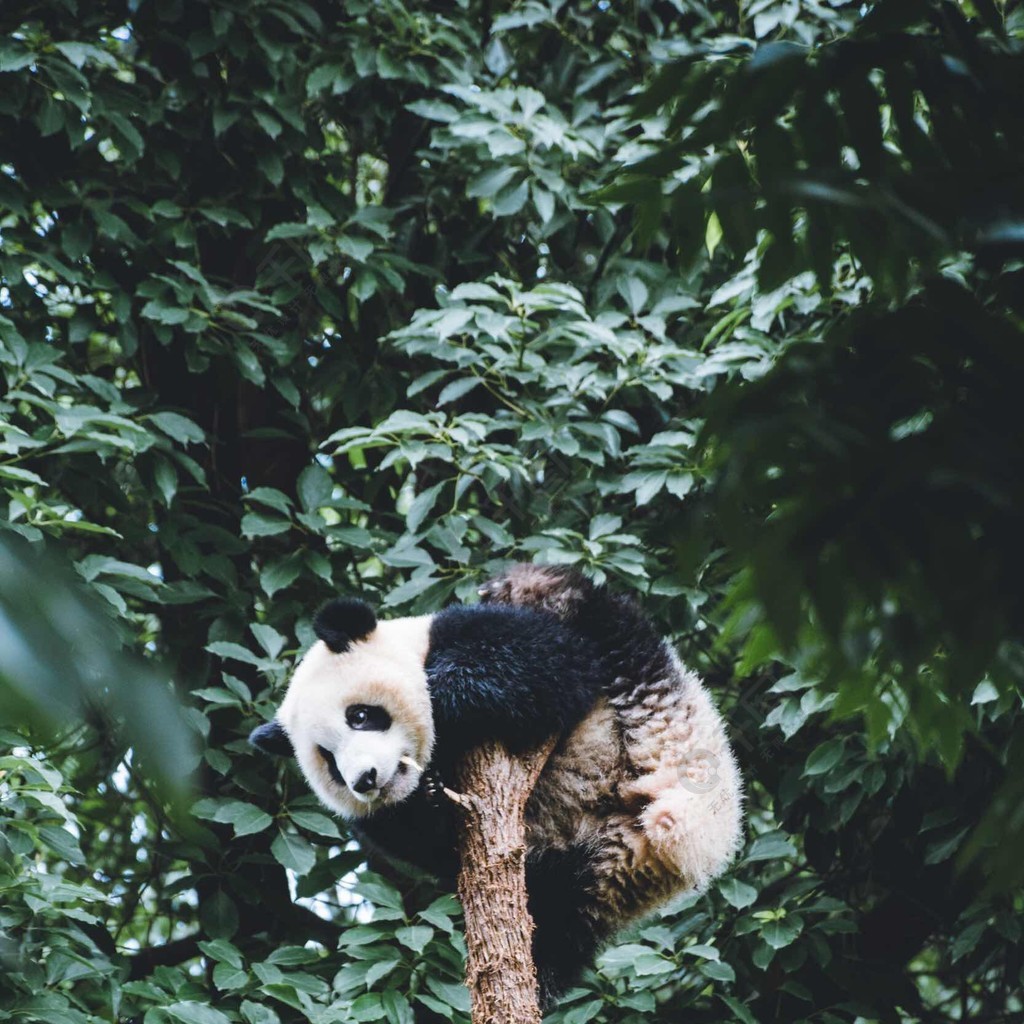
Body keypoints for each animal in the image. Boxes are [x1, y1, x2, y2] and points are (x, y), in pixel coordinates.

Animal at [247, 565, 745, 1003]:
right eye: (328, 760)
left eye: (361, 715)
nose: (366, 779)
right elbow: (420, 836)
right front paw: (430, 797)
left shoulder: (468, 632)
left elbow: (546, 668)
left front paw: (445, 695)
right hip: (597, 866)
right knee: (561, 916)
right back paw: (538, 976)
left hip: (662, 728)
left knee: (594, 615)